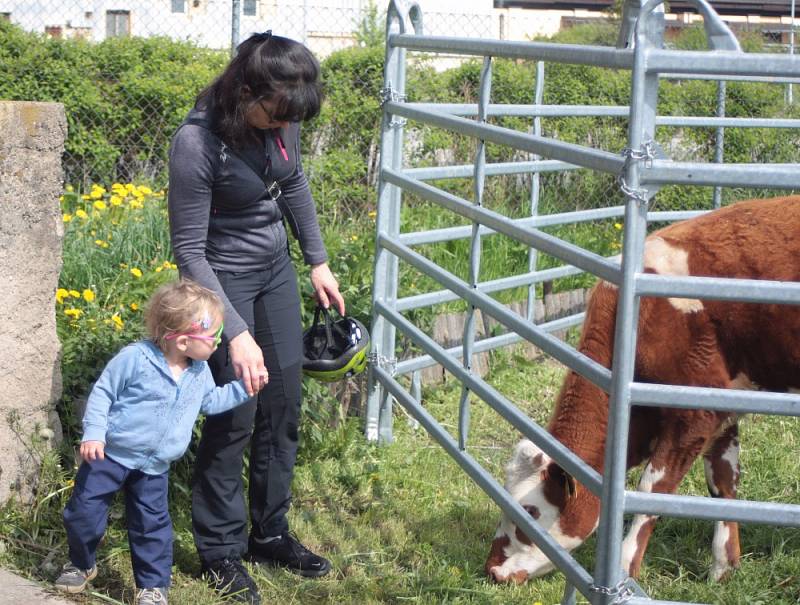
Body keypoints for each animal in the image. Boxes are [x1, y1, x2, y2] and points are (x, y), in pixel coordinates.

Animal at [484, 196, 796, 584]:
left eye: (530, 511)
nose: (493, 569)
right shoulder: (722, 410)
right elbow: (722, 482)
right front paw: (722, 567)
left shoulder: (694, 414)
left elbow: (652, 492)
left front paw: (623, 569)